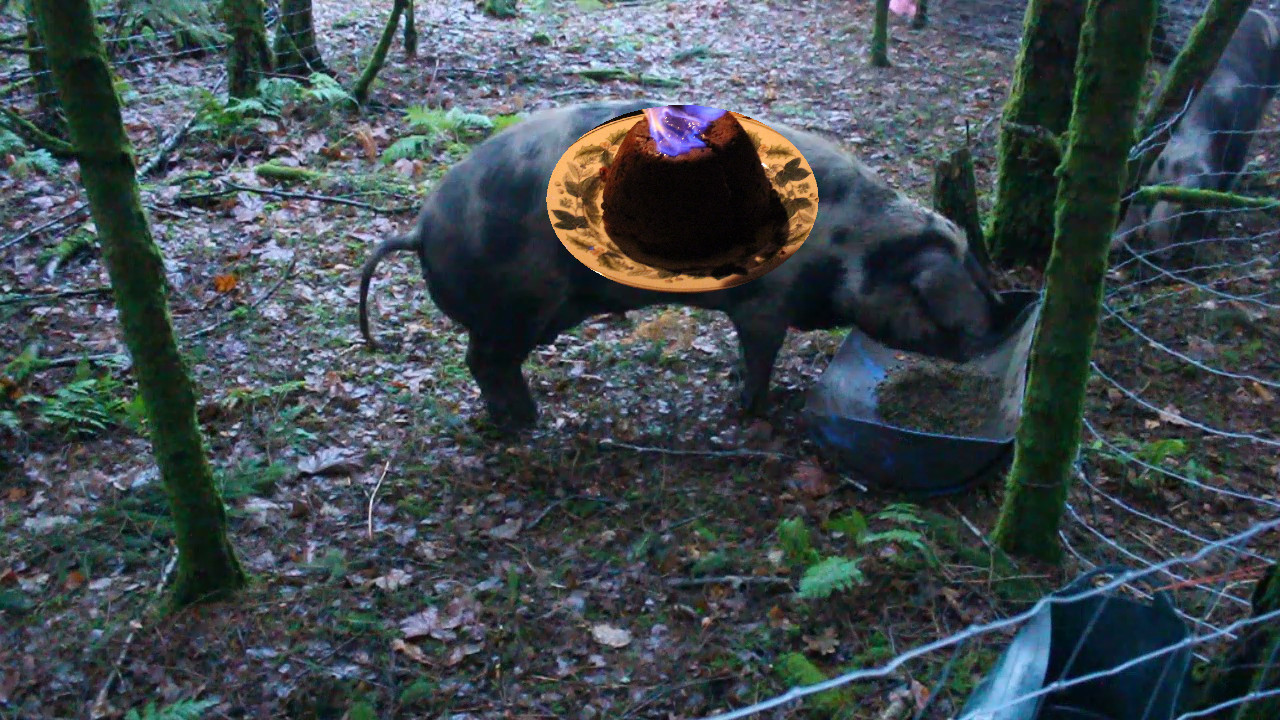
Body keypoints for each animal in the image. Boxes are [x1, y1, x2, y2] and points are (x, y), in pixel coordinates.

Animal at [359, 100, 1001, 431]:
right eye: (939, 294)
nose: (990, 332)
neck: (854, 244)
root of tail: (421, 226)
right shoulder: (764, 303)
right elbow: (761, 353)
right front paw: (749, 408)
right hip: (513, 307)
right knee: (484, 361)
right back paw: (528, 421)